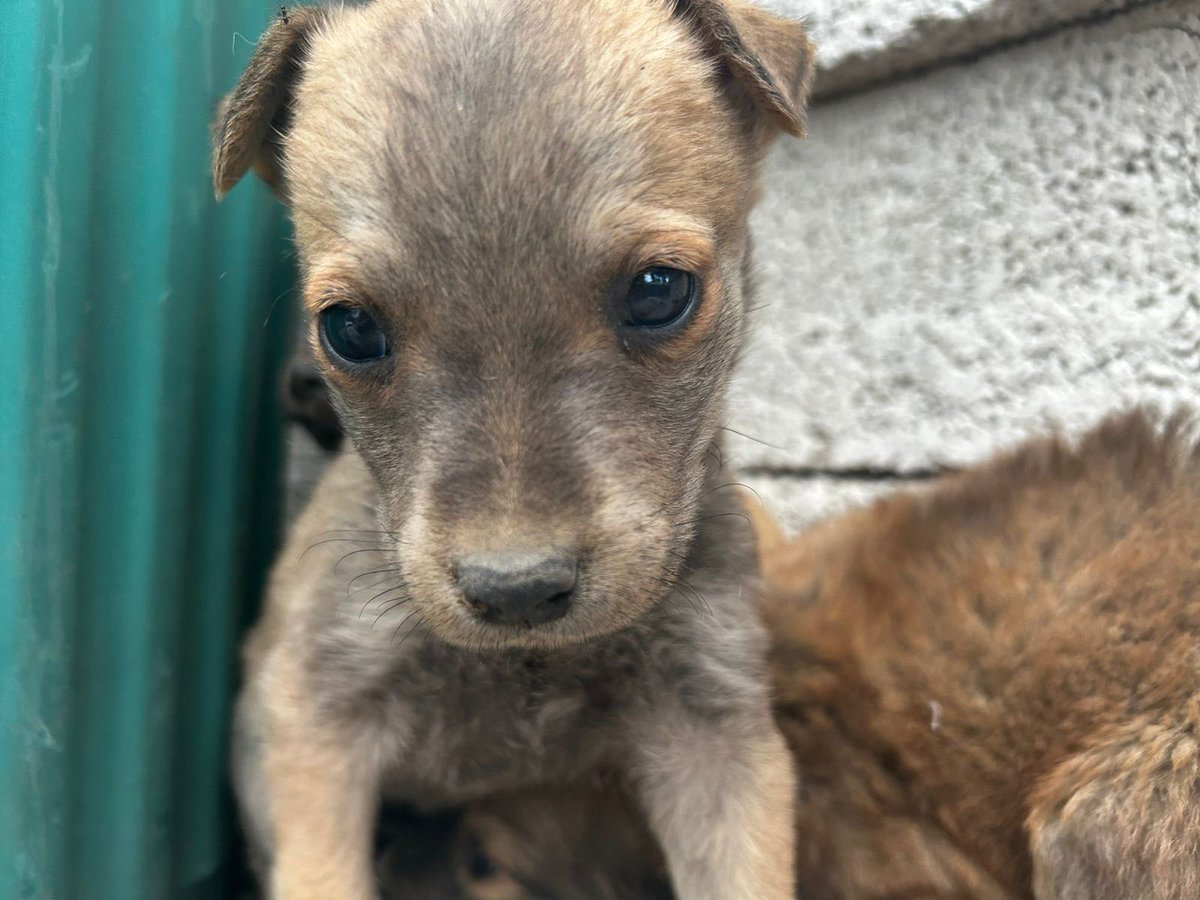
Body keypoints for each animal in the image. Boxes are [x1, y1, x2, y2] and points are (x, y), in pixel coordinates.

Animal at [216, 1, 816, 900]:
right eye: (349, 328)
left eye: (659, 291)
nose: (518, 590)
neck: (529, 665)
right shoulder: (319, 717)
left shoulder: (715, 732)